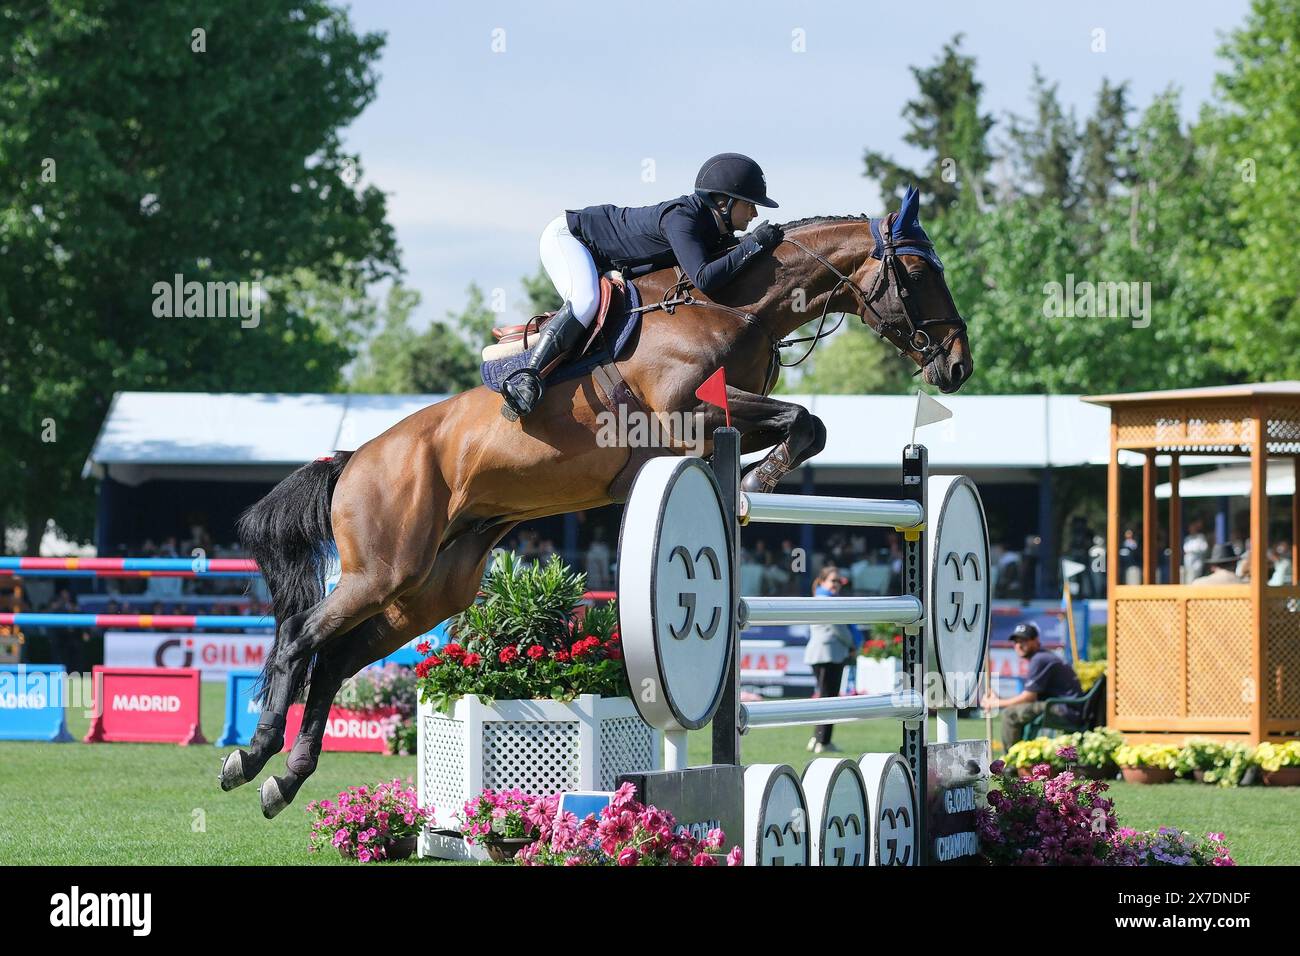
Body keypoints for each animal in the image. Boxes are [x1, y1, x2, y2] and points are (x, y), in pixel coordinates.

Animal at [220, 184, 977, 816]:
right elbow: (801, 421)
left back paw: (284, 780)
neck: (735, 306)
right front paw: (752, 487)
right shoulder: (689, 412)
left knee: (336, 658)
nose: (957, 365)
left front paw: (752, 483)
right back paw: (250, 755)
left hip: (430, 587)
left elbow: (806, 425)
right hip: (385, 567)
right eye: (918, 273)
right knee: (302, 636)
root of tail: (354, 459)